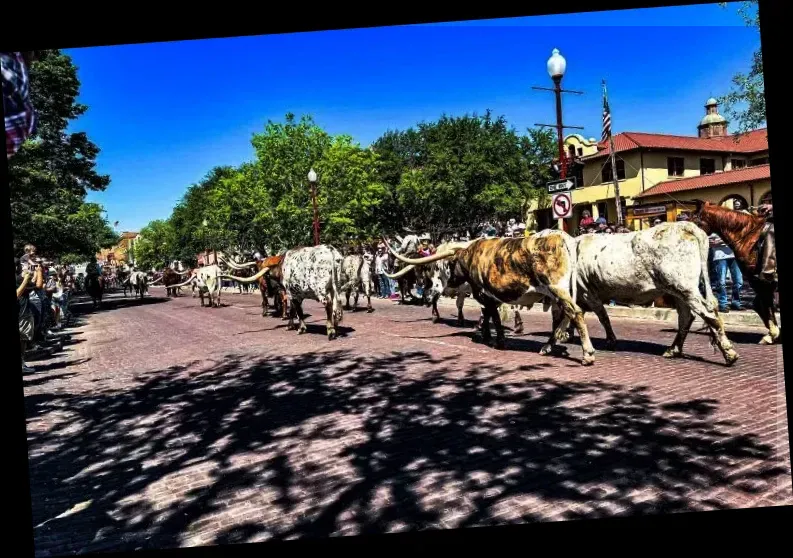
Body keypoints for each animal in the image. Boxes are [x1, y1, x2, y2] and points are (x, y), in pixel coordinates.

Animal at [688, 201, 776, 346]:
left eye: (695, 221)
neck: (748, 238)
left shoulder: (758, 281)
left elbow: (765, 303)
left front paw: (772, 334)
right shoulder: (758, 282)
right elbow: (760, 304)